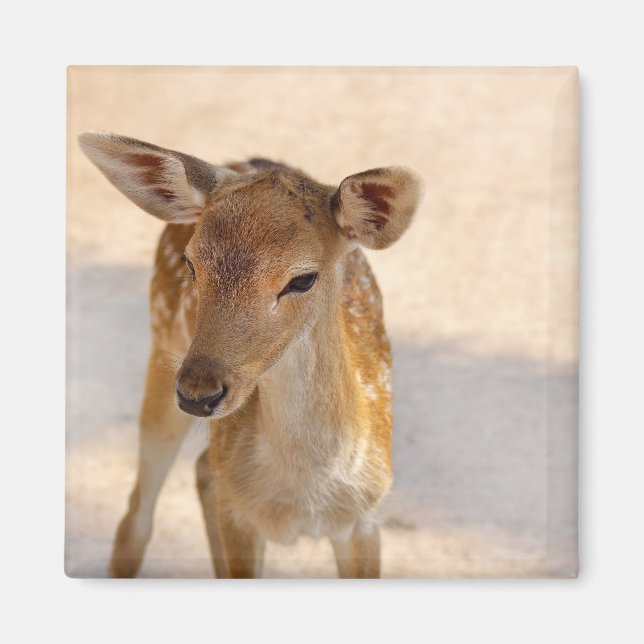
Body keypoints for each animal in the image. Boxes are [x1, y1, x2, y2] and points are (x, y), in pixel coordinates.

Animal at [78, 131, 424, 578]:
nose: (198, 393)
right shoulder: (240, 517)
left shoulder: (366, 516)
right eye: (191, 264)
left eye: (303, 279)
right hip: (162, 349)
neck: (303, 498)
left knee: (202, 469)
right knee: (138, 511)